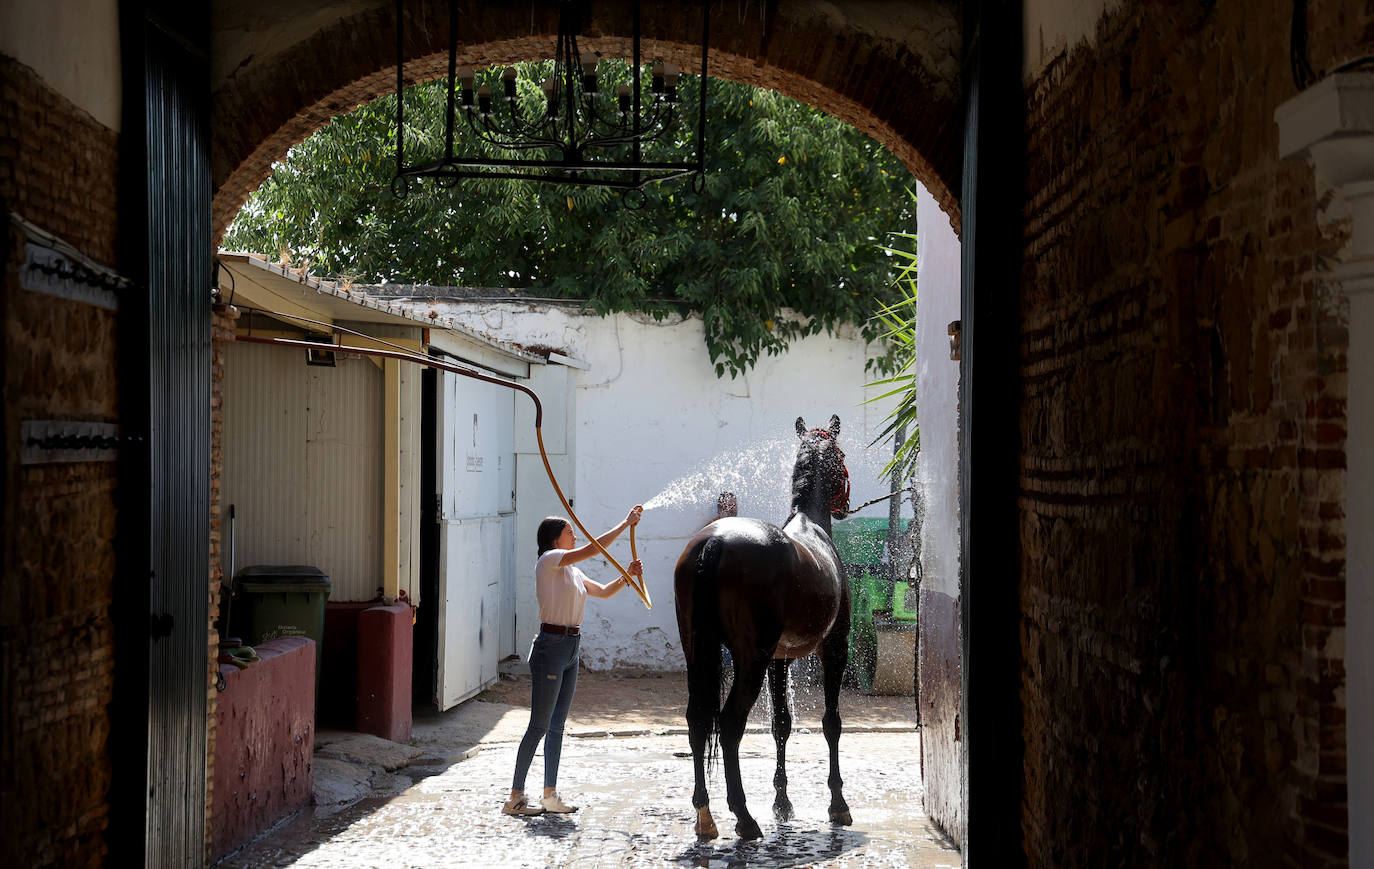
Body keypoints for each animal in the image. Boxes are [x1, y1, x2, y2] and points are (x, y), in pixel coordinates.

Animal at [673, 415, 854, 840]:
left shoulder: (779, 659)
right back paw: (742, 816)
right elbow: (831, 723)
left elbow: (781, 725)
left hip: (699, 652)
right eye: (840, 455)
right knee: (729, 724)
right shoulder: (835, 647)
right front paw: (838, 804)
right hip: (749, 661)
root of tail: (715, 541)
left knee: (697, 721)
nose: (845, 505)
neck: (811, 526)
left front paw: (782, 803)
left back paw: (705, 815)